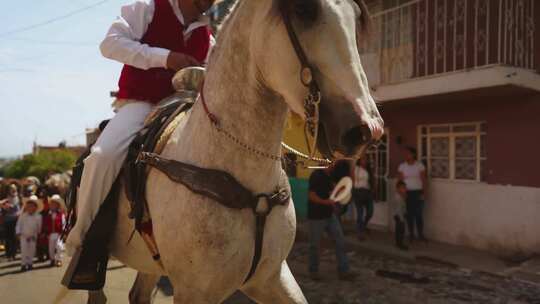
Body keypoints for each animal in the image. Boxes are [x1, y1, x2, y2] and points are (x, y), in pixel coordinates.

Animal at [61, 0, 382, 302]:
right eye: (304, 9)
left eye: (356, 16)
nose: (366, 130)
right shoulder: (194, 292)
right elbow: (117, 38)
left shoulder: (271, 278)